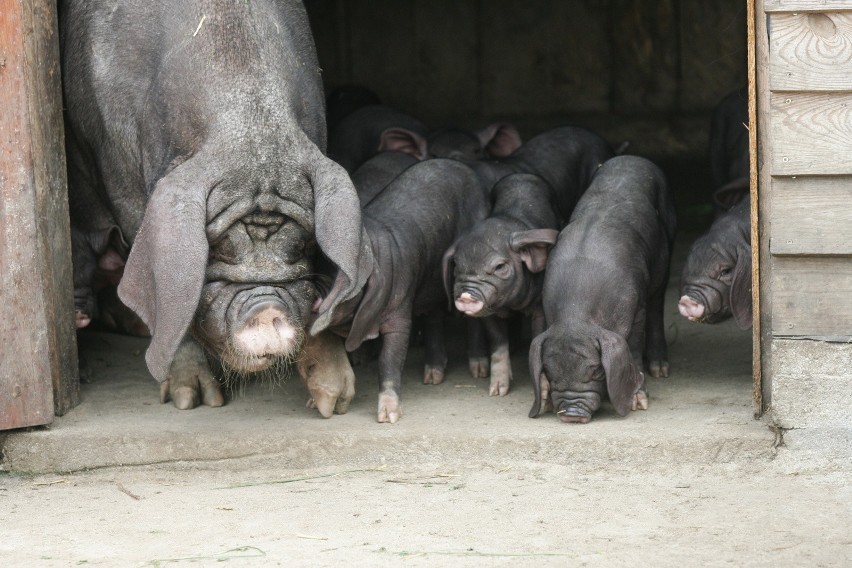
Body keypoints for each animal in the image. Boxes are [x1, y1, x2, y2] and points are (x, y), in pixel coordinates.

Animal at [64, 0, 372, 408]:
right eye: (217, 246)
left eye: (304, 244)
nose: (267, 310)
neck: (250, 119)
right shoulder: (121, 178)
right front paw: (193, 399)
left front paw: (334, 402)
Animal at [312, 159, 490, 422]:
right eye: (320, 261)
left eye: (341, 269)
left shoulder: (400, 304)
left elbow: (390, 358)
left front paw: (388, 417)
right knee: (434, 315)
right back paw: (432, 377)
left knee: (472, 317)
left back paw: (478, 371)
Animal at [442, 173, 564, 394]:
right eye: (457, 266)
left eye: (499, 266)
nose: (466, 295)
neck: (511, 303)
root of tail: (522, 174)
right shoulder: (487, 313)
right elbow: (498, 342)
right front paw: (497, 391)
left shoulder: (540, 304)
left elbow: (537, 337)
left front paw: (542, 392)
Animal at [528, 155, 676, 422]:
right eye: (551, 373)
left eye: (596, 371)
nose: (572, 414)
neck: (576, 313)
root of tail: (633, 157)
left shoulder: (636, 304)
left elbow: (634, 345)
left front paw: (640, 401)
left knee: (658, 304)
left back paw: (660, 369)